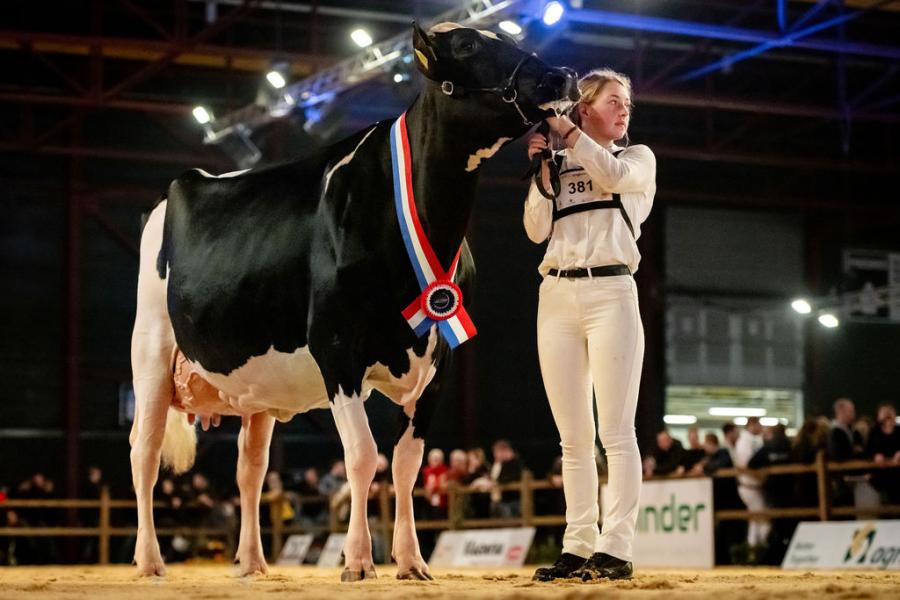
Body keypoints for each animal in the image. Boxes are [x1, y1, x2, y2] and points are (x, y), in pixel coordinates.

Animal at [130, 23, 580, 580]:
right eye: (469, 45)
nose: (563, 74)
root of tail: (188, 179)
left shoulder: (440, 359)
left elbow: (407, 465)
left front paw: (411, 560)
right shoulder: (337, 349)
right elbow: (363, 457)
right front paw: (359, 560)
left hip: (256, 387)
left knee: (249, 469)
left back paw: (253, 562)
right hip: (150, 349)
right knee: (145, 453)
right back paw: (150, 560)